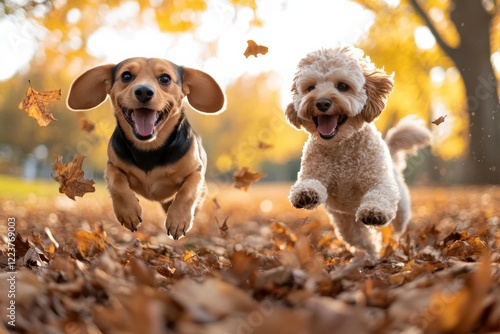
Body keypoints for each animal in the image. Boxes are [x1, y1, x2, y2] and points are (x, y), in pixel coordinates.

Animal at [67, 58, 225, 240]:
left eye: (165, 78)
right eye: (126, 76)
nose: (143, 91)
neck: (149, 148)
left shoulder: (196, 171)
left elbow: (188, 191)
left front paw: (179, 219)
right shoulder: (111, 165)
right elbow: (116, 181)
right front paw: (128, 211)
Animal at [288, 45, 432, 258]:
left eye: (342, 86)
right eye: (310, 88)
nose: (322, 103)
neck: (342, 146)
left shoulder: (379, 182)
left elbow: (379, 194)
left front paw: (374, 212)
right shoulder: (313, 173)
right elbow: (310, 183)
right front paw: (306, 194)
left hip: (401, 208)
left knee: (396, 226)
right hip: (346, 224)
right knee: (362, 240)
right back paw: (370, 255)